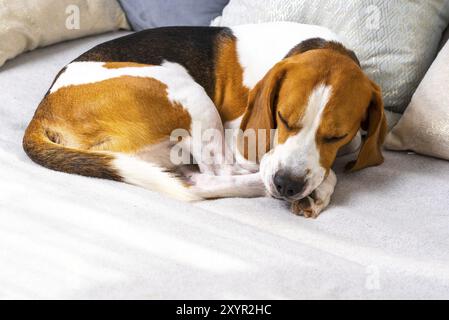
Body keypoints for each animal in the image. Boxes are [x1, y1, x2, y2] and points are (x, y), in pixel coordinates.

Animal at [22, 21, 384, 218]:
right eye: (282, 117)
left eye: (336, 135)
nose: (288, 185)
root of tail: (43, 110)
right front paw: (320, 186)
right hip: (190, 92)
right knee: (216, 174)